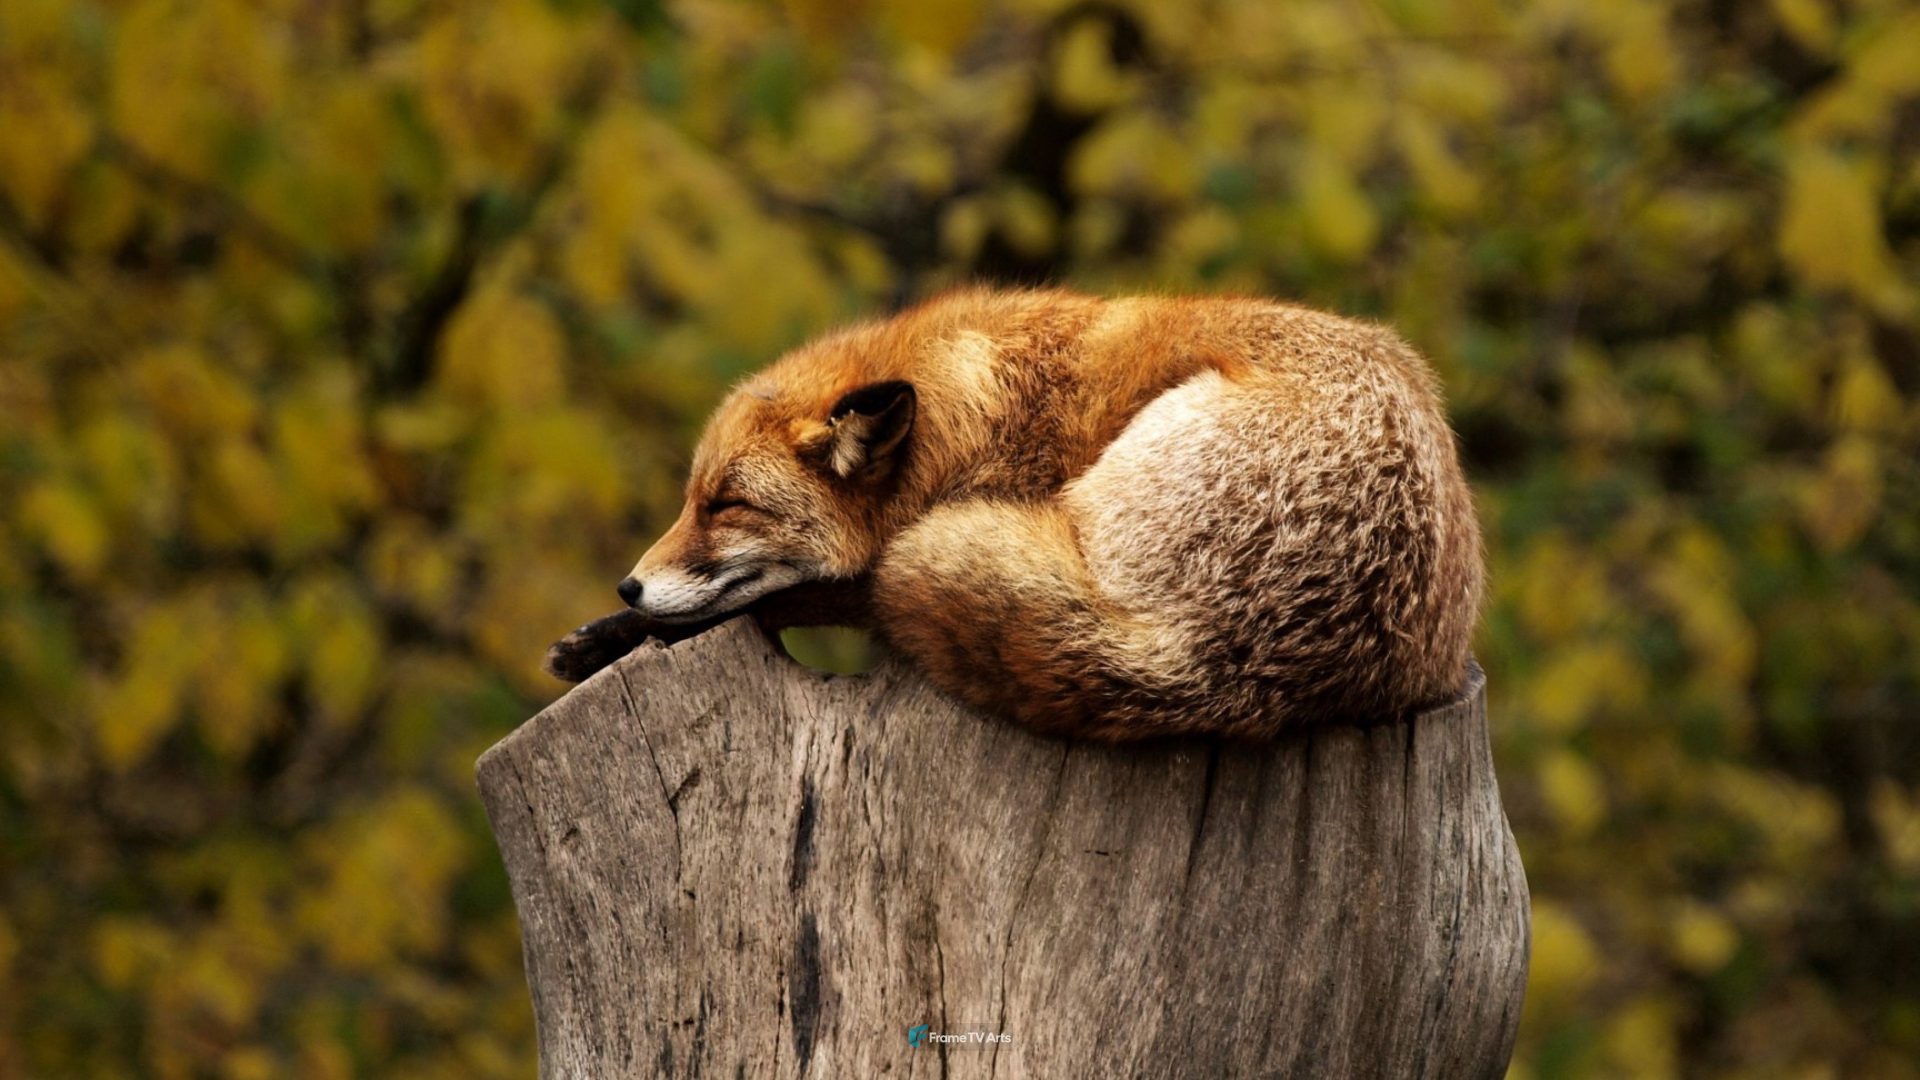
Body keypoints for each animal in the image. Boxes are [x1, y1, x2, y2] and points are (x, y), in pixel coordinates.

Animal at [544, 288, 1483, 740]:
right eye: (690, 499)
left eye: (727, 505)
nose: (628, 586)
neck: (972, 416)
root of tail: (1215, 664)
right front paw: (603, 635)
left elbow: (792, 596)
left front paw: (615, 635)